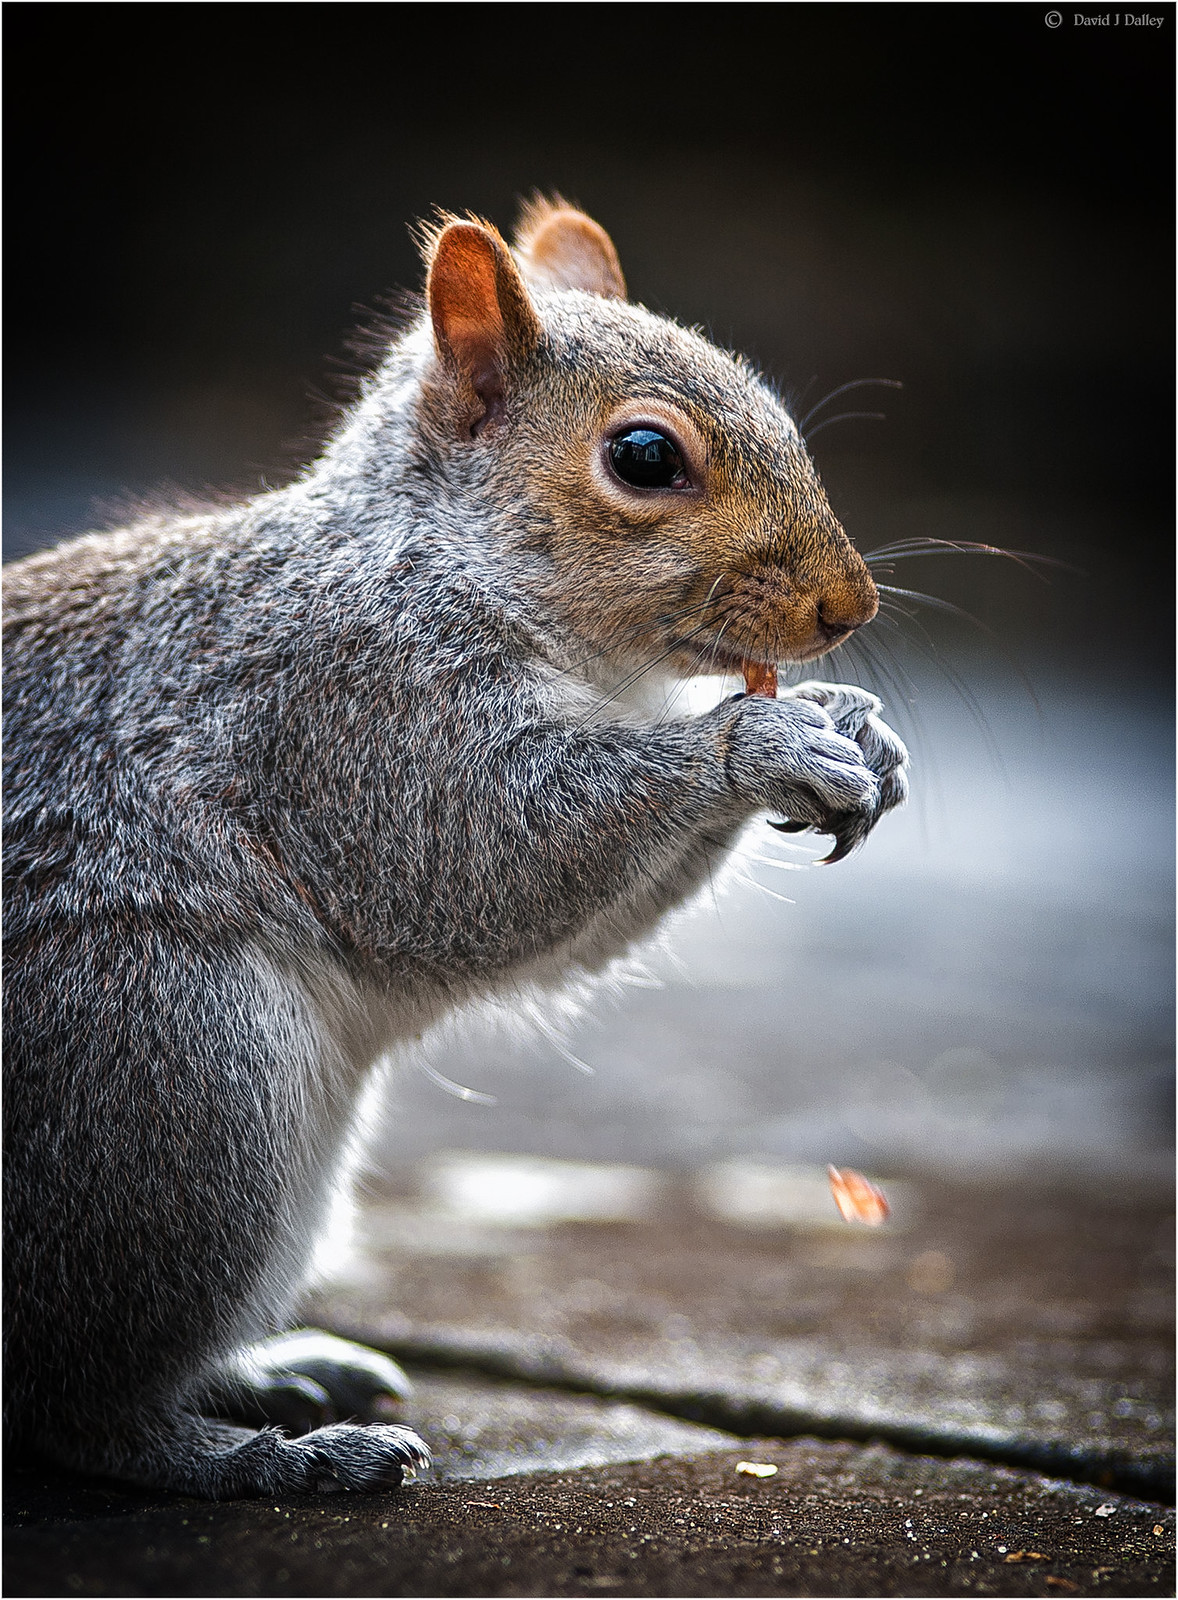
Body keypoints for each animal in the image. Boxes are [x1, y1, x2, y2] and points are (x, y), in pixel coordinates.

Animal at [3, 199, 909, 1499]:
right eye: (645, 457)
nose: (849, 610)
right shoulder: (347, 712)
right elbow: (477, 862)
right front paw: (757, 740)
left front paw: (854, 726)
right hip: (162, 1079)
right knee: (79, 1408)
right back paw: (265, 1457)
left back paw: (275, 1372)